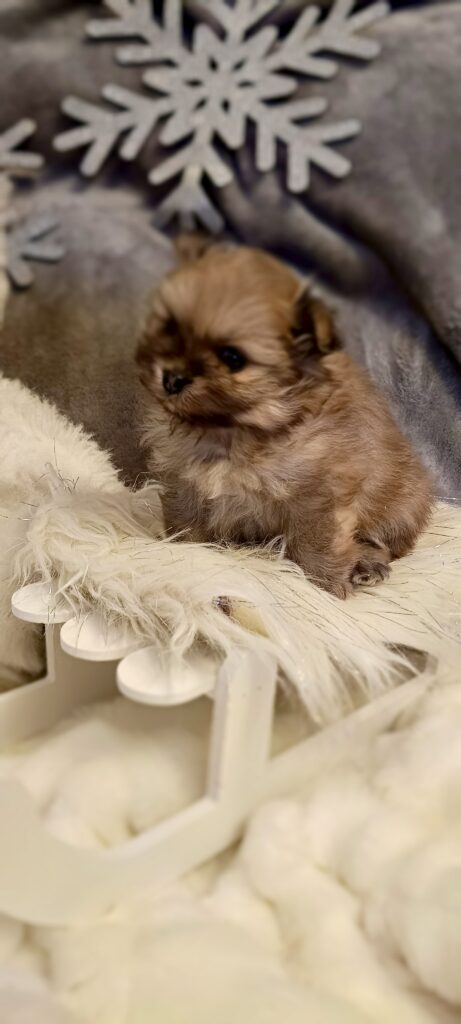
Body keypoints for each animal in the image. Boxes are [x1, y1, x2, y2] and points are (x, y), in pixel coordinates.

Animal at [137, 240, 432, 598]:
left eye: (232, 358)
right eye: (170, 327)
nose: (172, 379)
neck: (234, 430)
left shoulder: (319, 495)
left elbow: (315, 541)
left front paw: (327, 584)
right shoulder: (185, 482)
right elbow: (186, 524)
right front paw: (182, 554)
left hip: (398, 506)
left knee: (382, 544)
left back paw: (367, 566)